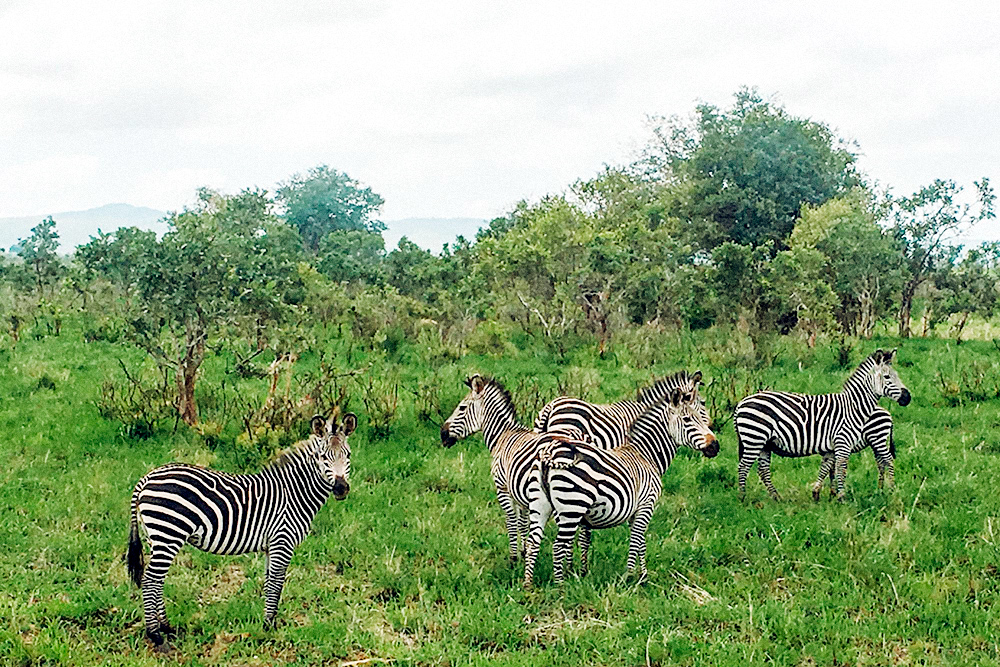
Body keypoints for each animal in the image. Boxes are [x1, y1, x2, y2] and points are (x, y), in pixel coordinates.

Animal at [127, 412, 358, 652]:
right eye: (323, 457)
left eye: (348, 455)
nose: (341, 488)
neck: (293, 492)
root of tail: (147, 478)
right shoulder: (282, 540)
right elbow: (277, 582)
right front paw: (268, 627)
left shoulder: (270, 545)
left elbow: (269, 581)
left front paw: (269, 622)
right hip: (168, 534)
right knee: (150, 580)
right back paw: (156, 635)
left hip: (156, 537)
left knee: (157, 581)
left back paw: (167, 627)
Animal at [442, 374, 544, 568]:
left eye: (462, 407)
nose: (442, 434)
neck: (502, 436)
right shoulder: (518, 492)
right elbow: (522, 522)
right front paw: (523, 551)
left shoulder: (502, 487)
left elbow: (511, 521)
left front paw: (513, 558)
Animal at [524, 386, 720, 588]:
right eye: (688, 420)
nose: (715, 446)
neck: (645, 454)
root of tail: (548, 455)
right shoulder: (646, 505)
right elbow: (635, 542)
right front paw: (630, 578)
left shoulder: (637, 511)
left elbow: (641, 543)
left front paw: (643, 577)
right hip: (572, 507)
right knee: (558, 546)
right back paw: (560, 586)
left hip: (540, 505)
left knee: (533, 542)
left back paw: (528, 586)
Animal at [732, 350, 912, 500]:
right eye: (887, 377)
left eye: (896, 375)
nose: (907, 397)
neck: (853, 406)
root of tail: (741, 403)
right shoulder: (843, 443)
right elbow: (841, 468)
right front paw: (841, 497)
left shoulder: (831, 447)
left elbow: (827, 468)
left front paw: (820, 493)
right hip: (754, 439)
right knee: (743, 467)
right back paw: (742, 497)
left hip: (764, 443)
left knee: (762, 470)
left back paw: (775, 497)